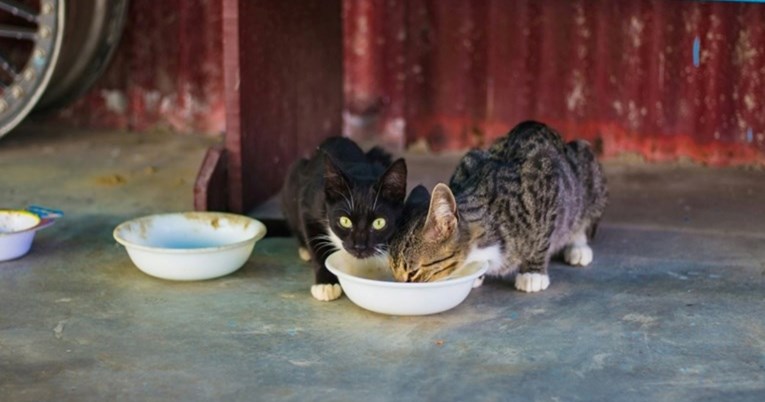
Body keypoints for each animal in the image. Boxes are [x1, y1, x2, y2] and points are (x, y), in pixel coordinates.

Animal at [278, 137, 402, 300]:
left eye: (379, 223)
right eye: (345, 221)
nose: (359, 247)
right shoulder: (308, 206)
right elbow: (317, 245)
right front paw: (325, 283)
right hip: (293, 177)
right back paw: (304, 249)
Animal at [390, 119, 604, 292]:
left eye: (413, 273)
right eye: (393, 270)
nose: (398, 286)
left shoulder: (546, 177)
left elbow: (542, 237)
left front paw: (533, 272)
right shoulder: (468, 161)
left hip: (587, 168)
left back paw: (578, 245)